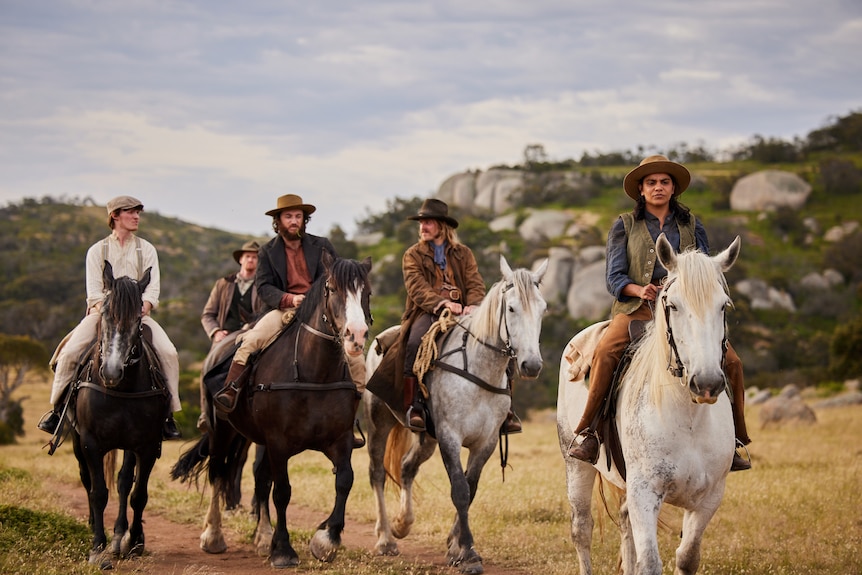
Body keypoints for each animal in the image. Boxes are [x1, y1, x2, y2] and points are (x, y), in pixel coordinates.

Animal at [72, 262, 172, 572]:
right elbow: (98, 492)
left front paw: (132, 541)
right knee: (87, 479)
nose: (112, 372)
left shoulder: (146, 446)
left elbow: (137, 492)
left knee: (124, 481)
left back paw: (120, 536)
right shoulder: (90, 443)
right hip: (76, 442)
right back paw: (94, 527)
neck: (121, 390)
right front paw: (97, 548)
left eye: (138, 318)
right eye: (105, 313)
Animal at [174, 254, 372, 568]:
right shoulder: (279, 443)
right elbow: (282, 492)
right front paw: (284, 550)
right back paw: (214, 536)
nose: (357, 335)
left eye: (367, 292)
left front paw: (326, 539)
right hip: (222, 432)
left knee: (259, 478)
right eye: (332, 288)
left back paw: (263, 536)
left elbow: (344, 481)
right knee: (218, 472)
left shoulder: (338, 441)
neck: (313, 374)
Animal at [364, 256, 548, 575]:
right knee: (377, 472)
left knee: (407, 468)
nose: (531, 365)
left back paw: (402, 524)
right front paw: (469, 554)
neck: (478, 369)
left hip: (426, 438)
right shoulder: (450, 436)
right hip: (379, 422)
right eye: (511, 308)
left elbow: (470, 489)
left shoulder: (486, 442)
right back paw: (386, 538)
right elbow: (460, 490)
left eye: (542, 309)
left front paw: (455, 547)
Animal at [560, 234, 744, 575]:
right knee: (582, 529)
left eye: (723, 305)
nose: (707, 383)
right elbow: (649, 561)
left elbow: (687, 557)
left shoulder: (709, 498)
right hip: (575, 464)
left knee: (623, 524)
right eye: (672, 305)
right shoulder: (644, 493)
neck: (688, 418)